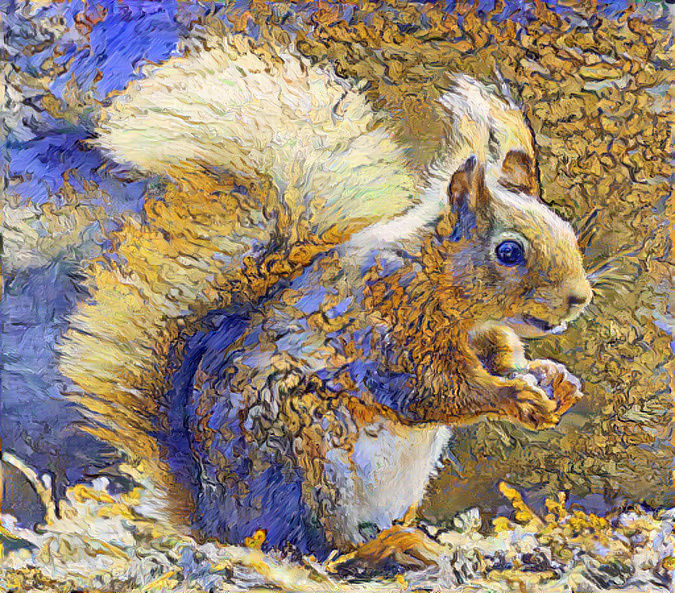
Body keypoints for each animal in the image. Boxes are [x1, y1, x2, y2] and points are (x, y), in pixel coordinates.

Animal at [59, 34, 592, 568]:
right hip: (310, 462)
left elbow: (503, 358)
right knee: (317, 546)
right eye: (509, 252)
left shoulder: (486, 336)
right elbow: (435, 390)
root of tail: (215, 520)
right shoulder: (390, 326)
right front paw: (516, 397)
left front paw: (554, 380)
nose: (579, 298)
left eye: (566, 230)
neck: (440, 284)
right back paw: (387, 548)